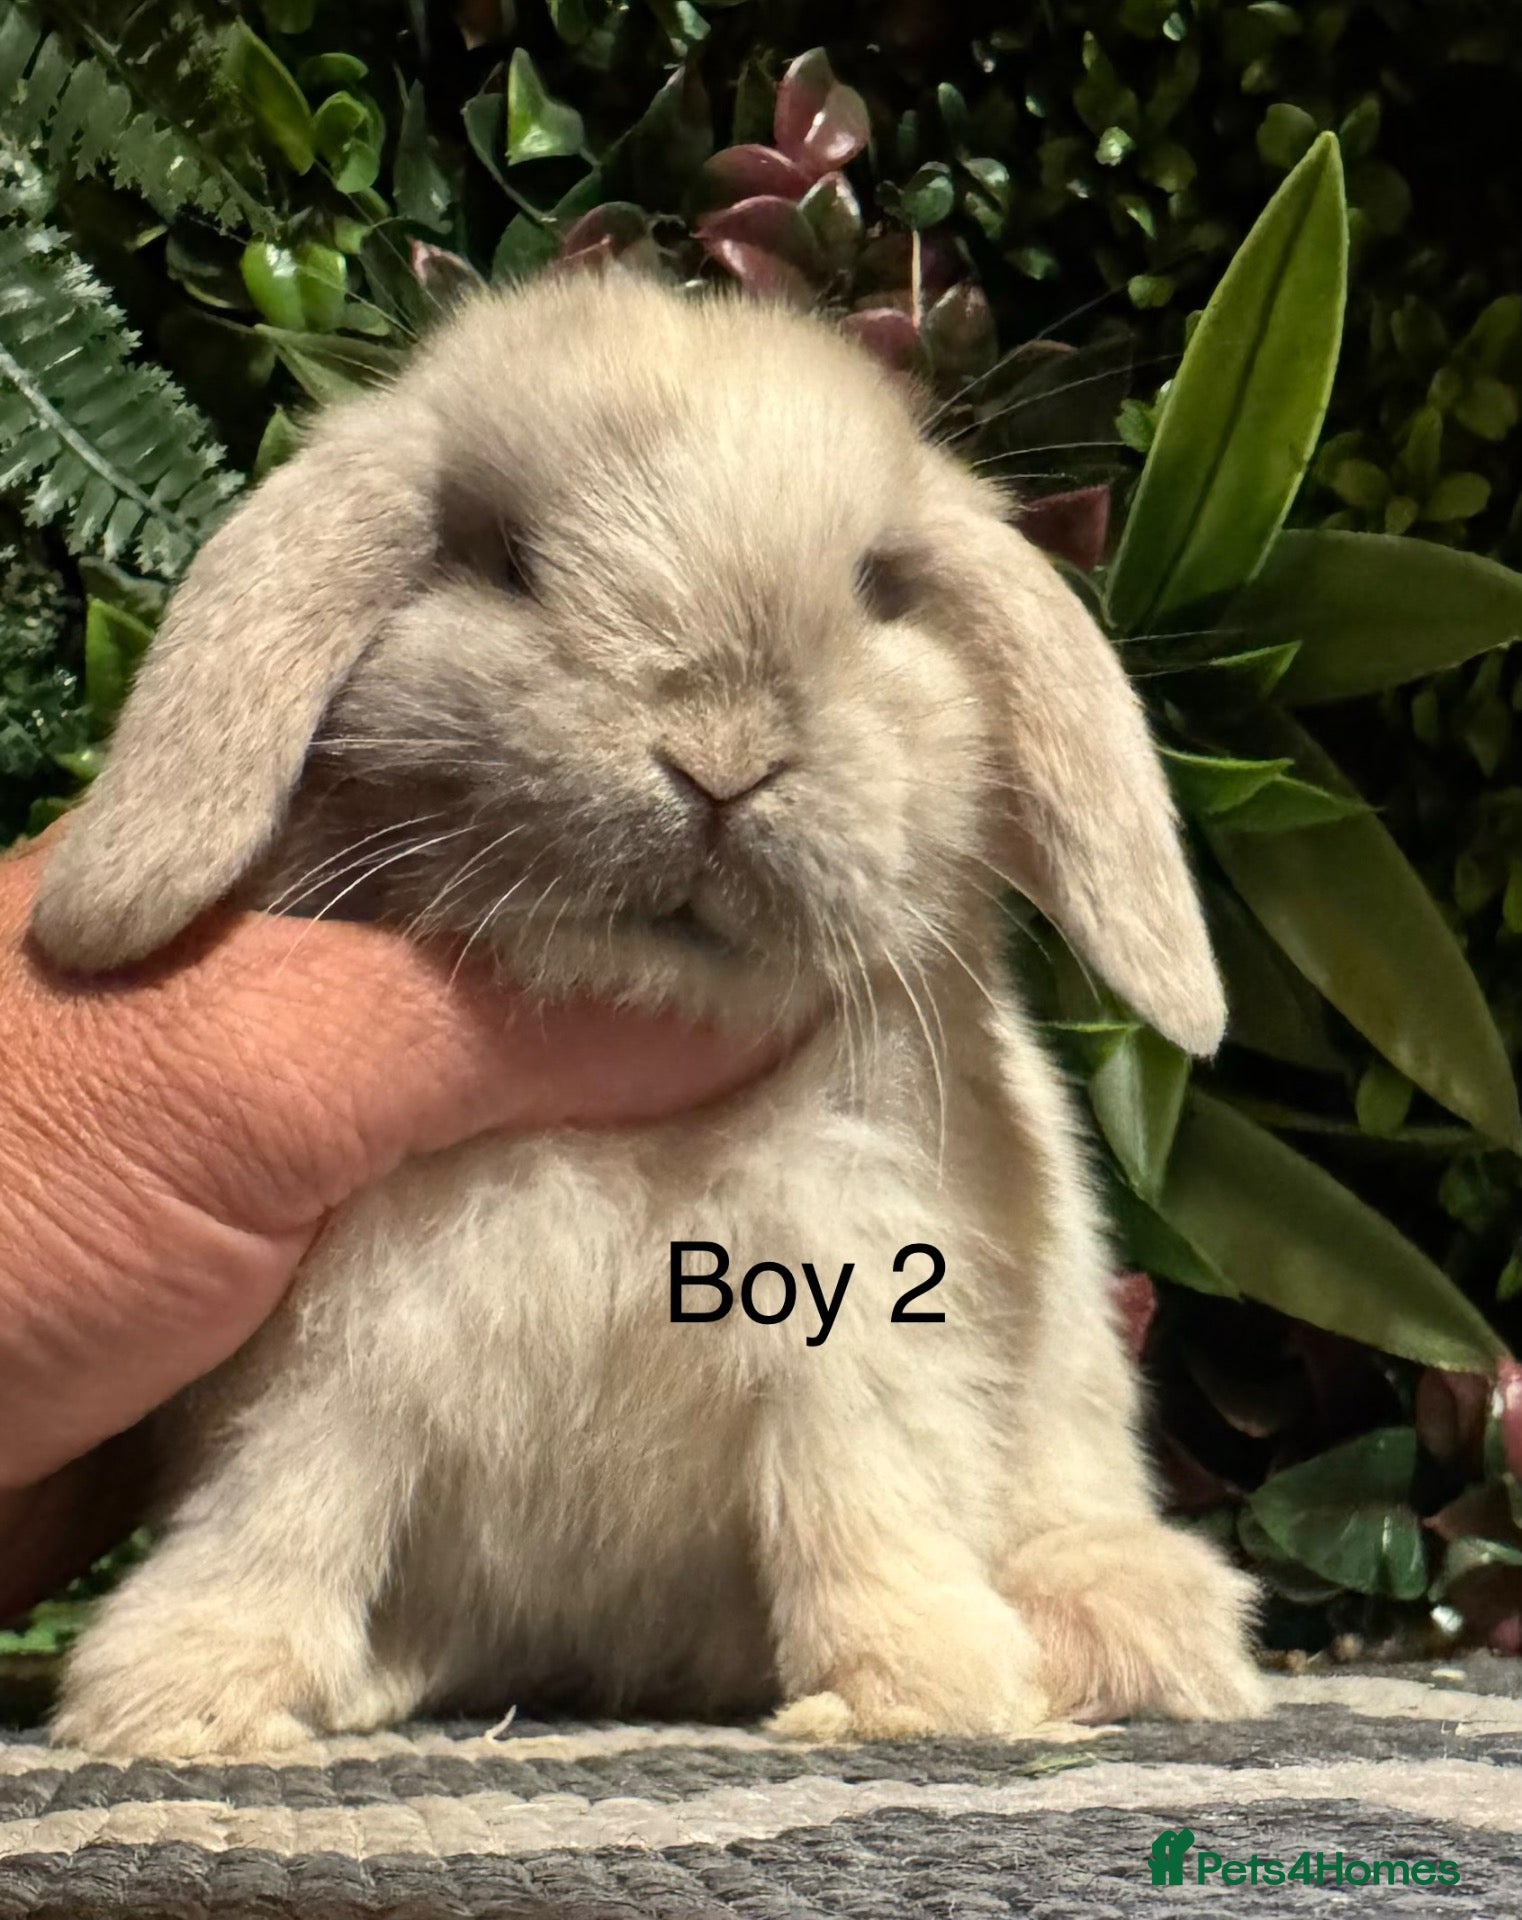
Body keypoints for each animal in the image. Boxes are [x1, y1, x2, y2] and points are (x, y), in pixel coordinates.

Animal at [31, 270, 1265, 1759]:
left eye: (878, 588)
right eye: (505, 561)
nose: (718, 757)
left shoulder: (860, 1329)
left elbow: (863, 1503)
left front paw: (911, 1694)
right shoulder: (336, 1364)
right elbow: (285, 1507)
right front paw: (185, 1697)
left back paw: (1105, 1625)